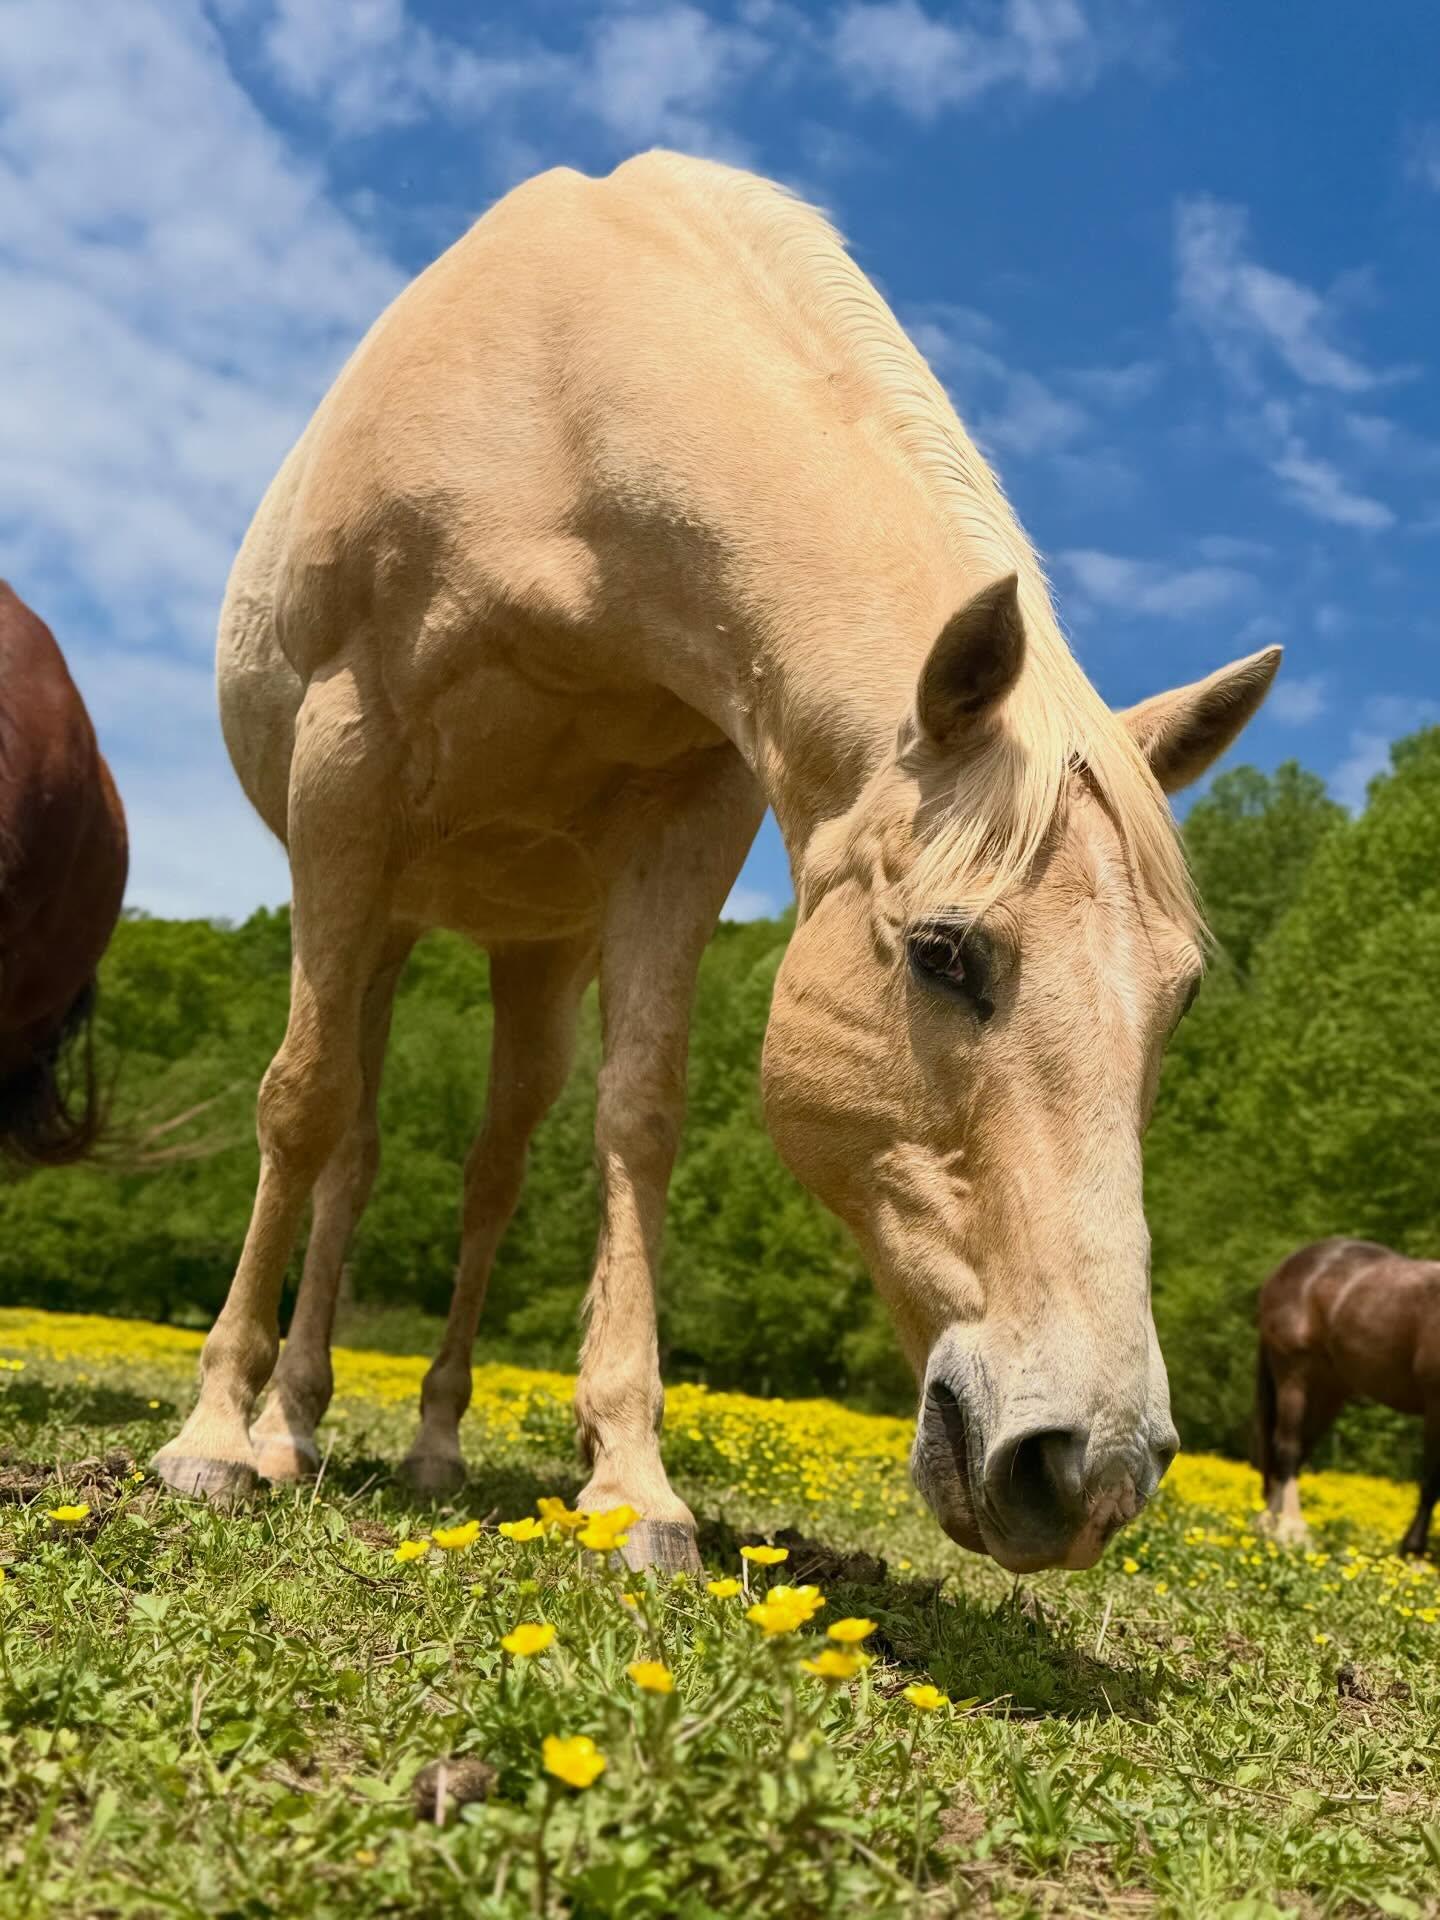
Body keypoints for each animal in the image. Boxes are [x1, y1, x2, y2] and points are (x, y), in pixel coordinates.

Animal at [153, 152, 1280, 1574]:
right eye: (944, 954)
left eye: (1176, 1002)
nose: (1093, 1469)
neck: (559, 405)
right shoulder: (346, 761)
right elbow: (297, 1103)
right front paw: (209, 1435)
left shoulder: (685, 823)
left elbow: (639, 1118)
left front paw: (634, 1491)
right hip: (373, 905)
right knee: (345, 1135)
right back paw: (285, 1427)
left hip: (534, 950)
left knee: (489, 1173)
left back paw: (431, 1448)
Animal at [1257, 1238, 1440, 1556]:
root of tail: (1287, 1266)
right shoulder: (1435, 1405)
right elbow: (1432, 1479)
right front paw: (1413, 1552)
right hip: (1293, 1374)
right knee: (1288, 1447)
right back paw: (1291, 1530)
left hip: (1328, 1391)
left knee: (1300, 1450)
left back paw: (1270, 1526)